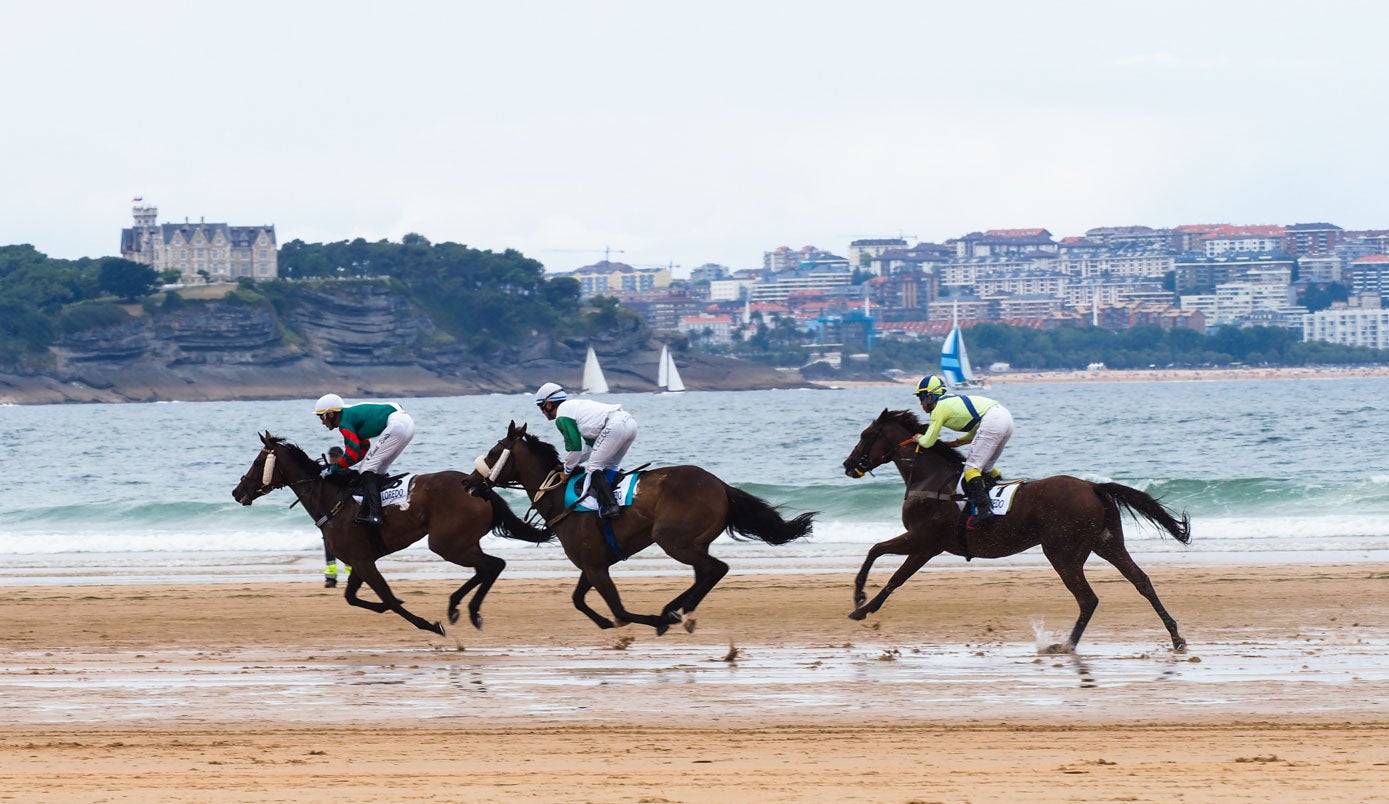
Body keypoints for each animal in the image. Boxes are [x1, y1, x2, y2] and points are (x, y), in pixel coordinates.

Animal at [230, 430, 550, 638]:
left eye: (257, 463)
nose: (237, 491)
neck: (332, 500)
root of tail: (476, 486)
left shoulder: (363, 562)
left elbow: (388, 598)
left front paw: (429, 624)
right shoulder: (359, 561)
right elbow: (353, 597)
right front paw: (387, 607)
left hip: (446, 544)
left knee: (493, 565)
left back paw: (466, 610)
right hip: (462, 542)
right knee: (488, 567)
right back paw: (459, 607)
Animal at [472, 422, 811, 635]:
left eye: (493, 452)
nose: (469, 483)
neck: (559, 498)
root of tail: (722, 486)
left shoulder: (596, 566)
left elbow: (619, 611)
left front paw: (647, 621)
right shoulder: (592, 564)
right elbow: (578, 599)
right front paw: (609, 623)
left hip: (673, 540)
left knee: (716, 569)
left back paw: (678, 612)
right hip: (691, 542)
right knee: (704, 573)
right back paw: (675, 608)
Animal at [838, 411, 1188, 649]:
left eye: (865, 434)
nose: (847, 464)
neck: (932, 480)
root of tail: (1093, 486)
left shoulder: (924, 541)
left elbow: (883, 561)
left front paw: (860, 603)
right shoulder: (927, 546)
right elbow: (886, 564)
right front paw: (862, 603)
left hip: (1063, 553)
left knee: (1088, 598)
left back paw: (1066, 645)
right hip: (1108, 543)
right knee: (1141, 581)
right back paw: (1175, 635)